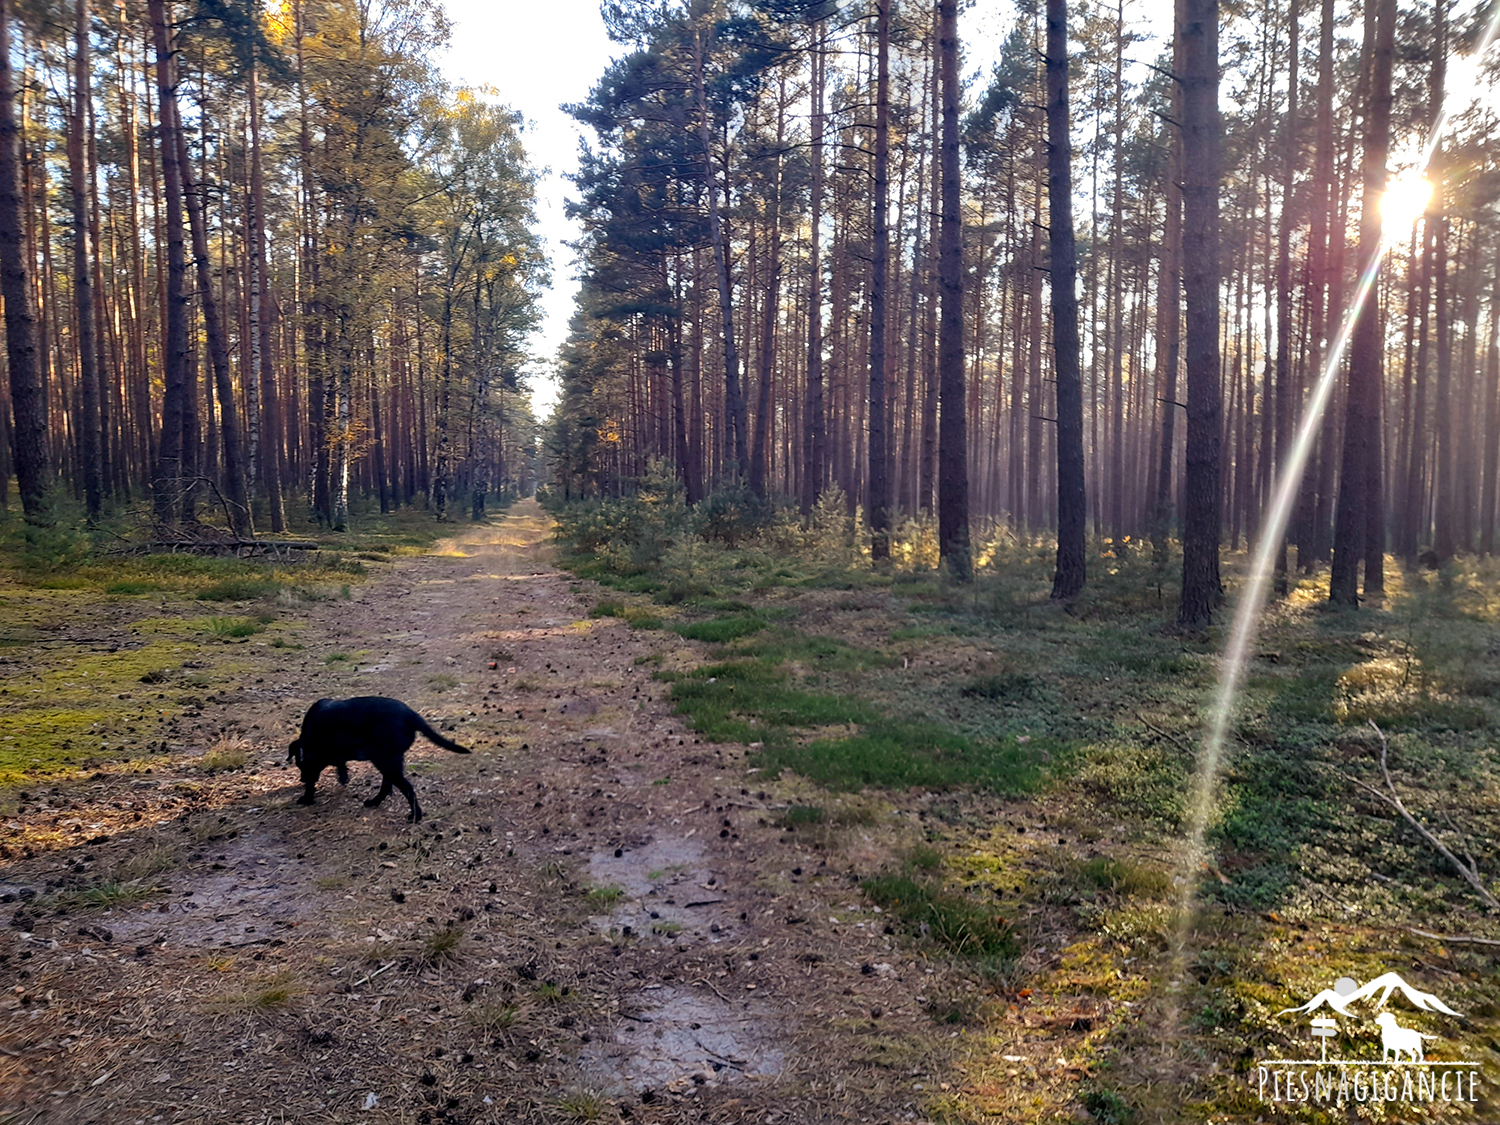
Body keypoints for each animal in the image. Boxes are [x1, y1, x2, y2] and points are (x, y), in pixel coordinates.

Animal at [283, 696, 465, 828]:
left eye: (299, 764)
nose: (301, 779)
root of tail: (410, 715)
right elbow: (340, 764)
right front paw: (342, 776)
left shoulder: (313, 762)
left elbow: (311, 783)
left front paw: (306, 798)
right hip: (387, 762)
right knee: (387, 786)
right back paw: (374, 801)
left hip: (385, 761)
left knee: (407, 788)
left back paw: (415, 815)